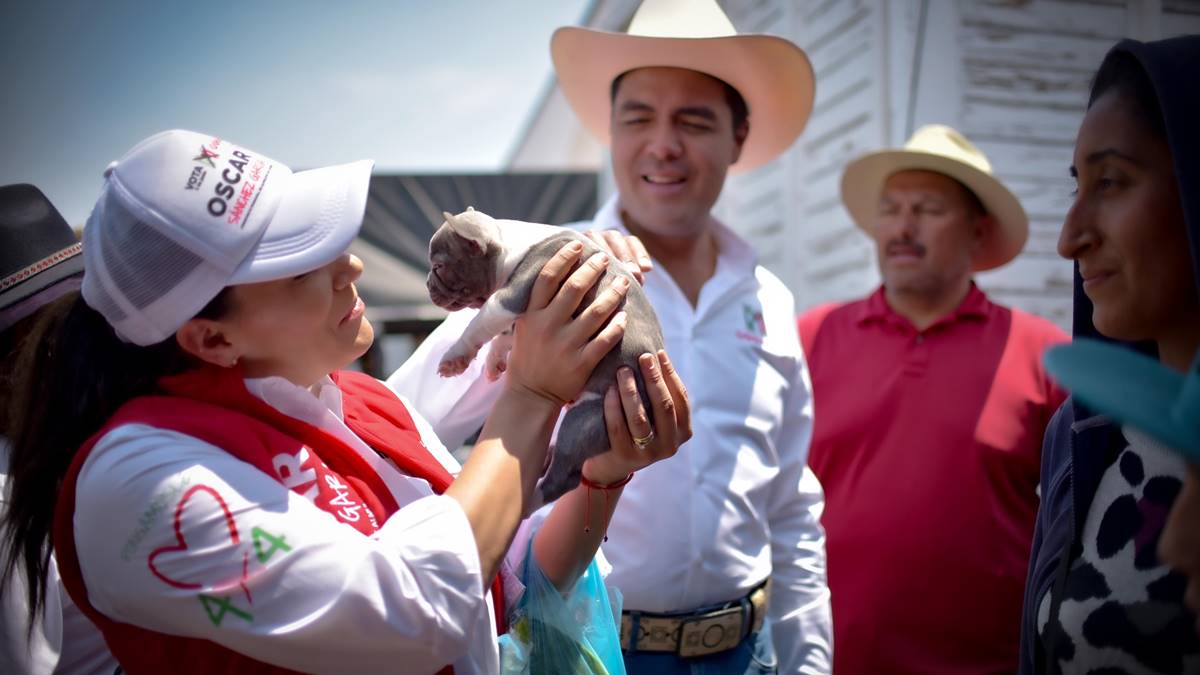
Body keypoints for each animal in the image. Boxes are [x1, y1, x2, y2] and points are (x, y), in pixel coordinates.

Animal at [427, 207, 667, 502]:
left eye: (439, 267)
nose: (427, 284)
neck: (508, 243)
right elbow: (504, 335)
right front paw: (494, 362)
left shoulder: (512, 294)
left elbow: (480, 323)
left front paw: (454, 357)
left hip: (585, 420)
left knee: (562, 480)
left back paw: (531, 497)